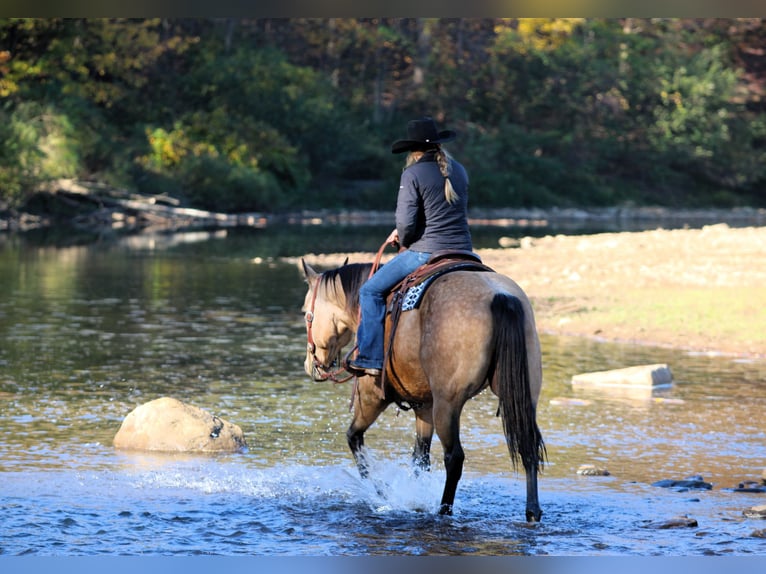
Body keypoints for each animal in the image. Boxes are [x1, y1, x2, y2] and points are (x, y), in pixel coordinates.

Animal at [300, 256, 546, 522]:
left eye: (305, 313)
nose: (310, 365)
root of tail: (501, 296)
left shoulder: (372, 397)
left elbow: (354, 438)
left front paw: (382, 492)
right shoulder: (424, 407)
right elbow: (420, 457)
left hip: (447, 404)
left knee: (454, 457)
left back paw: (444, 510)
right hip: (523, 398)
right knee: (528, 445)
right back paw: (532, 511)